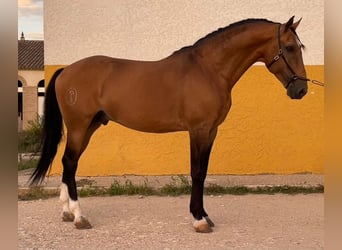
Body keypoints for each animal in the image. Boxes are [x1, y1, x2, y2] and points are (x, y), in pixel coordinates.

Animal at [30, 16, 308, 233]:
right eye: (290, 47)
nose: (301, 90)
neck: (209, 70)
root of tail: (66, 70)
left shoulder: (211, 131)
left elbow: (203, 171)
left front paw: (205, 215)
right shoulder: (198, 130)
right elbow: (197, 172)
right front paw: (198, 220)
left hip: (89, 126)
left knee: (69, 163)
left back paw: (67, 213)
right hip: (79, 126)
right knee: (69, 162)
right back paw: (79, 216)